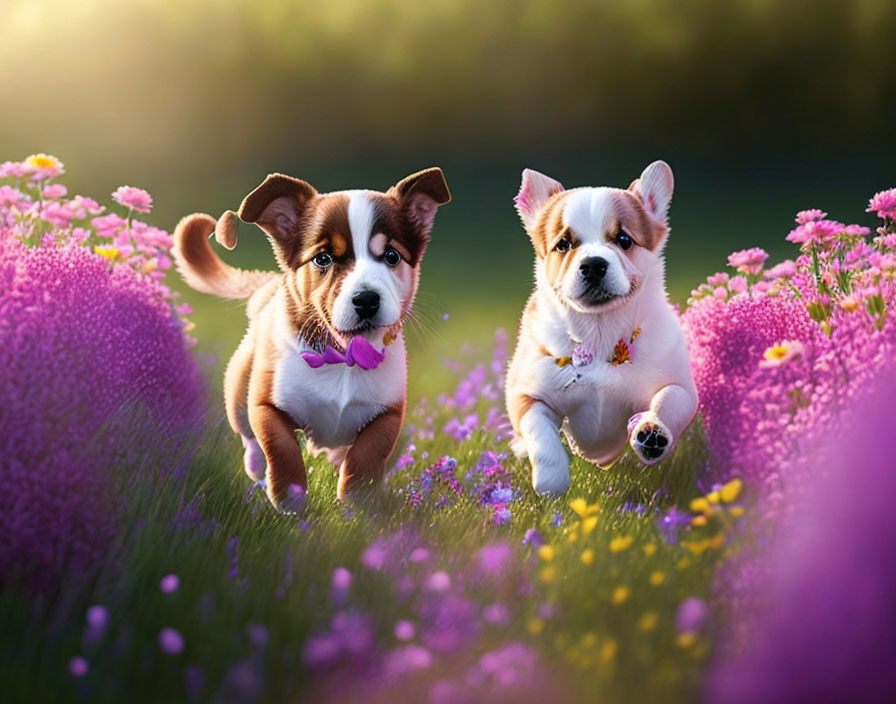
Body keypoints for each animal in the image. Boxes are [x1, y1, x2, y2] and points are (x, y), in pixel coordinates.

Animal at [172, 170, 452, 512]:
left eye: (391, 256)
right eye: (322, 259)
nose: (367, 300)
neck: (344, 358)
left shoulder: (389, 411)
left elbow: (370, 449)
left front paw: (355, 498)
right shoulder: (266, 403)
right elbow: (280, 446)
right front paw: (289, 498)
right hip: (237, 386)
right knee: (246, 432)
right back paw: (256, 466)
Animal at [508, 160, 696, 496]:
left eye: (624, 240)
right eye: (563, 244)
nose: (594, 264)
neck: (599, 334)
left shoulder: (680, 385)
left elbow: (669, 400)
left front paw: (653, 433)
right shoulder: (526, 395)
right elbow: (542, 437)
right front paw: (551, 482)